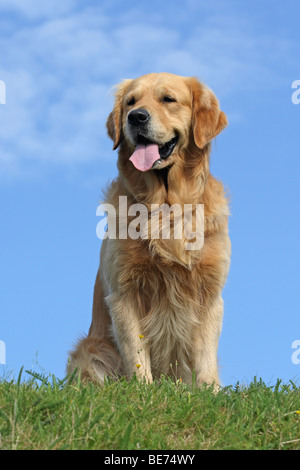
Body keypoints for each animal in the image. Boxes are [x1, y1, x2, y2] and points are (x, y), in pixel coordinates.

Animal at [68, 72, 231, 390]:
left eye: (168, 99)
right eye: (131, 102)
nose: (136, 117)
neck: (166, 206)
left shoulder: (209, 291)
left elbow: (205, 354)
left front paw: (210, 391)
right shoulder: (124, 291)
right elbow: (136, 350)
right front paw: (143, 390)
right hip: (91, 350)